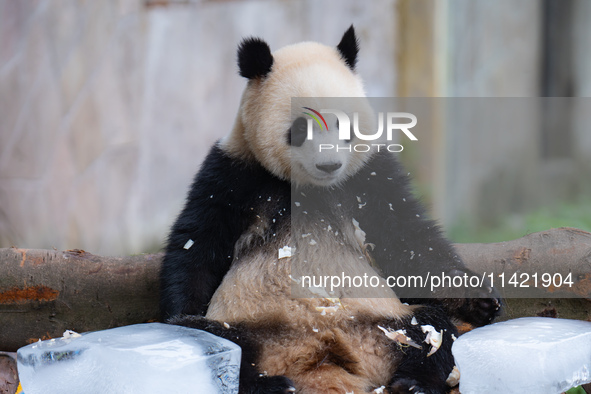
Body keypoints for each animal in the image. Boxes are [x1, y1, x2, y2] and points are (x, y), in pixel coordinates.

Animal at [160, 26, 502, 392]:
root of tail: (321, 351)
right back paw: (270, 384)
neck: (310, 188)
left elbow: (407, 241)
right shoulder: (235, 171)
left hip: (382, 322)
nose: (329, 165)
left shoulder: (369, 175)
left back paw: (412, 381)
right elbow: (198, 244)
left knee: (430, 327)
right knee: (212, 339)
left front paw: (481, 300)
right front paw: (181, 309)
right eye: (301, 128)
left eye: (344, 126)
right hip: (251, 324)